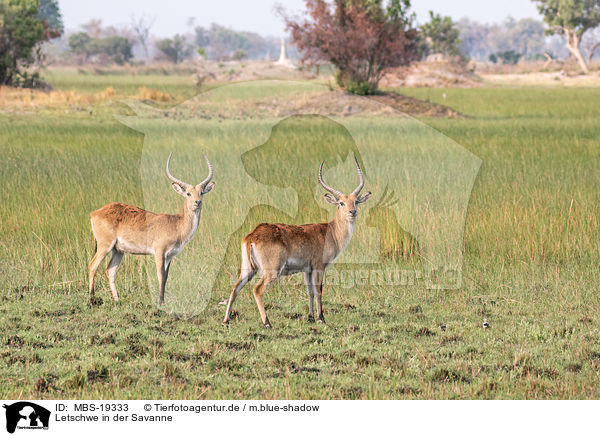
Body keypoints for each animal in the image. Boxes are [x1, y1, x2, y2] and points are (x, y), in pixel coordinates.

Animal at [86, 152, 213, 304]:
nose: (197, 202)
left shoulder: (170, 256)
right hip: (105, 245)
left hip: (118, 251)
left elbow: (166, 277)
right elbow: (160, 276)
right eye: (188, 193)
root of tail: (94, 213)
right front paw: (160, 302)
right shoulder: (159, 252)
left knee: (110, 271)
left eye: (201, 192)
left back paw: (117, 300)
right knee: (92, 265)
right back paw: (92, 299)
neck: (177, 224)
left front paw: (162, 300)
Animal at [221, 155, 368, 328]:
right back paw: (267, 323)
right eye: (341, 203)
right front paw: (321, 318)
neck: (330, 232)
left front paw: (311, 317)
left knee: (235, 288)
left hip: (248, 269)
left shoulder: (307, 269)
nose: (353, 212)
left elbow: (310, 291)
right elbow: (319, 291)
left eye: (356, 201)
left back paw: (226, 320)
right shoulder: (319, 267)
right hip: (271, 271)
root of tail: (253, 235)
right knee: (257, 290)